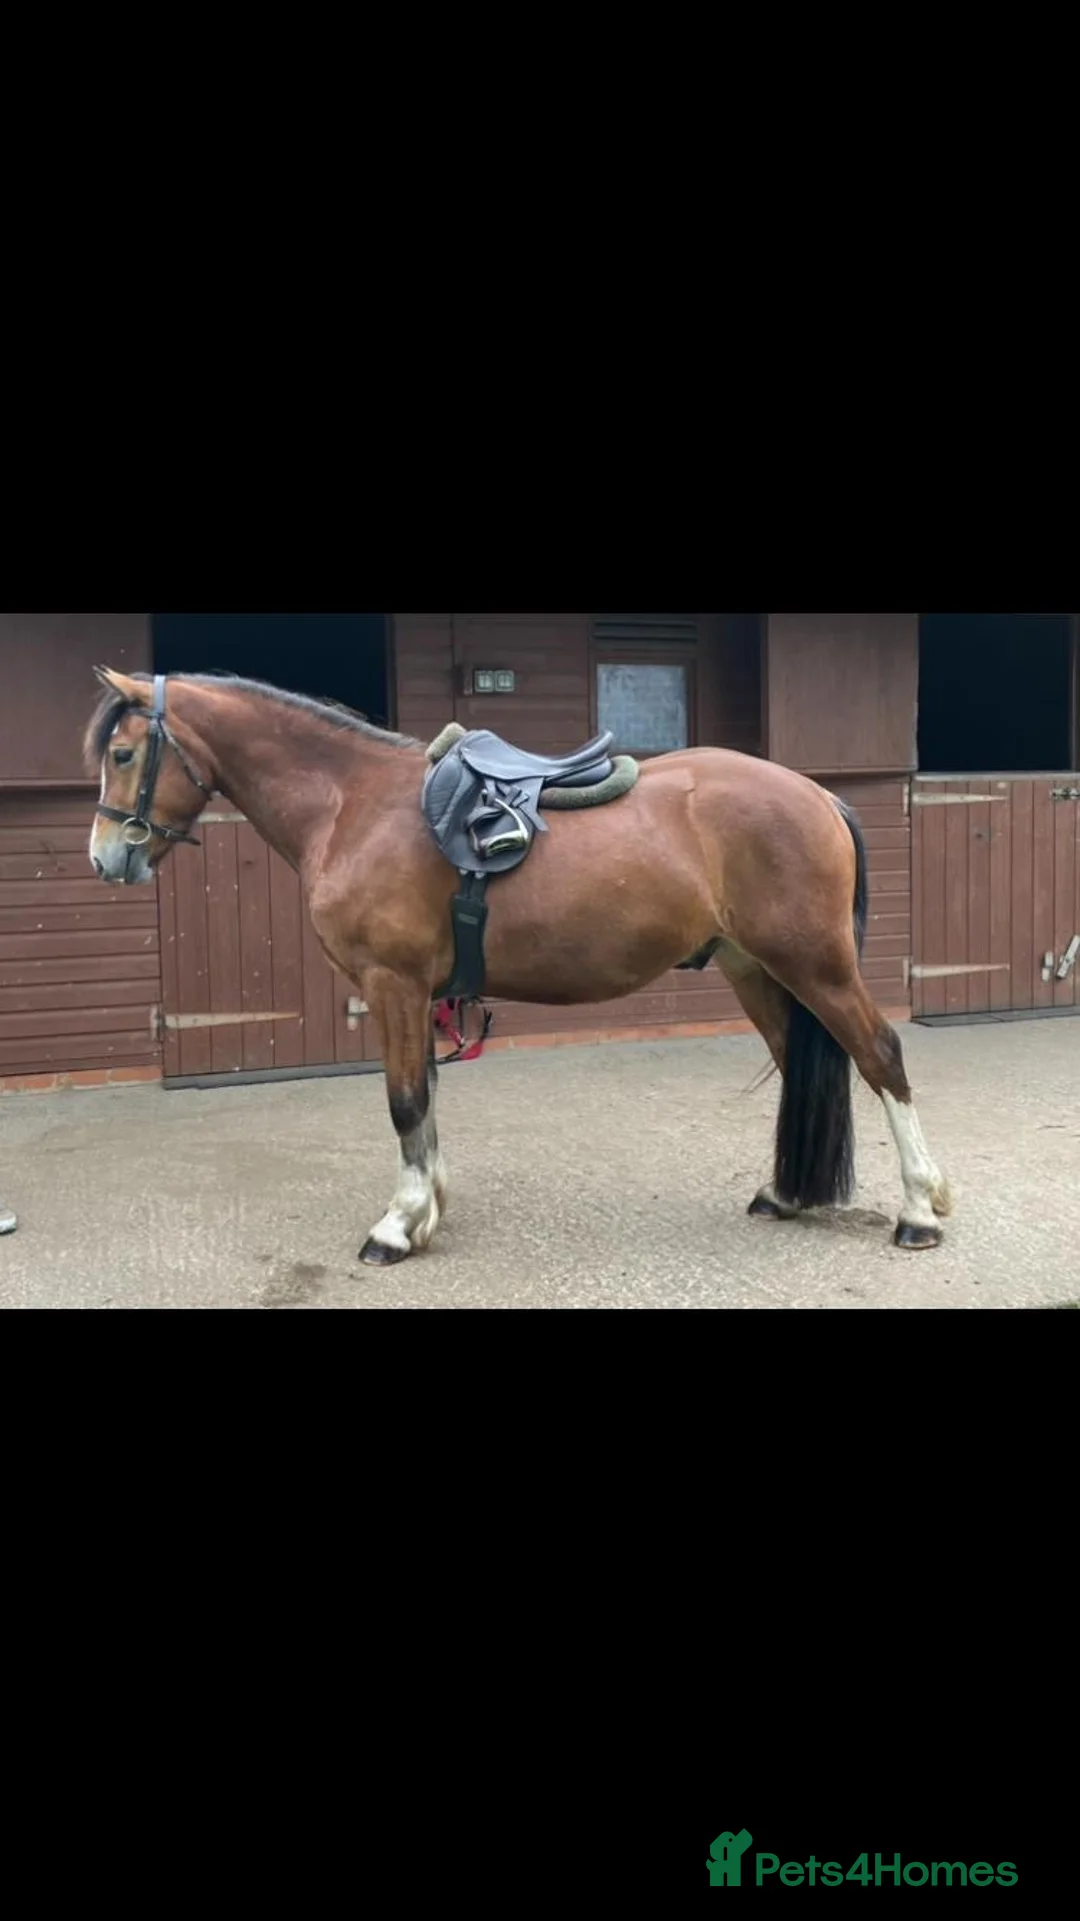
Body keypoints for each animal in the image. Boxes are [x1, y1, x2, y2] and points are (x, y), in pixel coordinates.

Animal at [85, 668, 952, 1267]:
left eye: (124, 753)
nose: (105, 859)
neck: (352, 802)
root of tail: (817, 795)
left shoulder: (393, 984)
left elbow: (404, 1101)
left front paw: (397, 1225)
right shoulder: (417, 996)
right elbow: (425, 1098)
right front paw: (428, 1209)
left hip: (815, 964)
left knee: (881, 1056)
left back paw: (920, 1208)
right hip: (756, 970)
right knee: (805, 1061)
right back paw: (787, 1192)